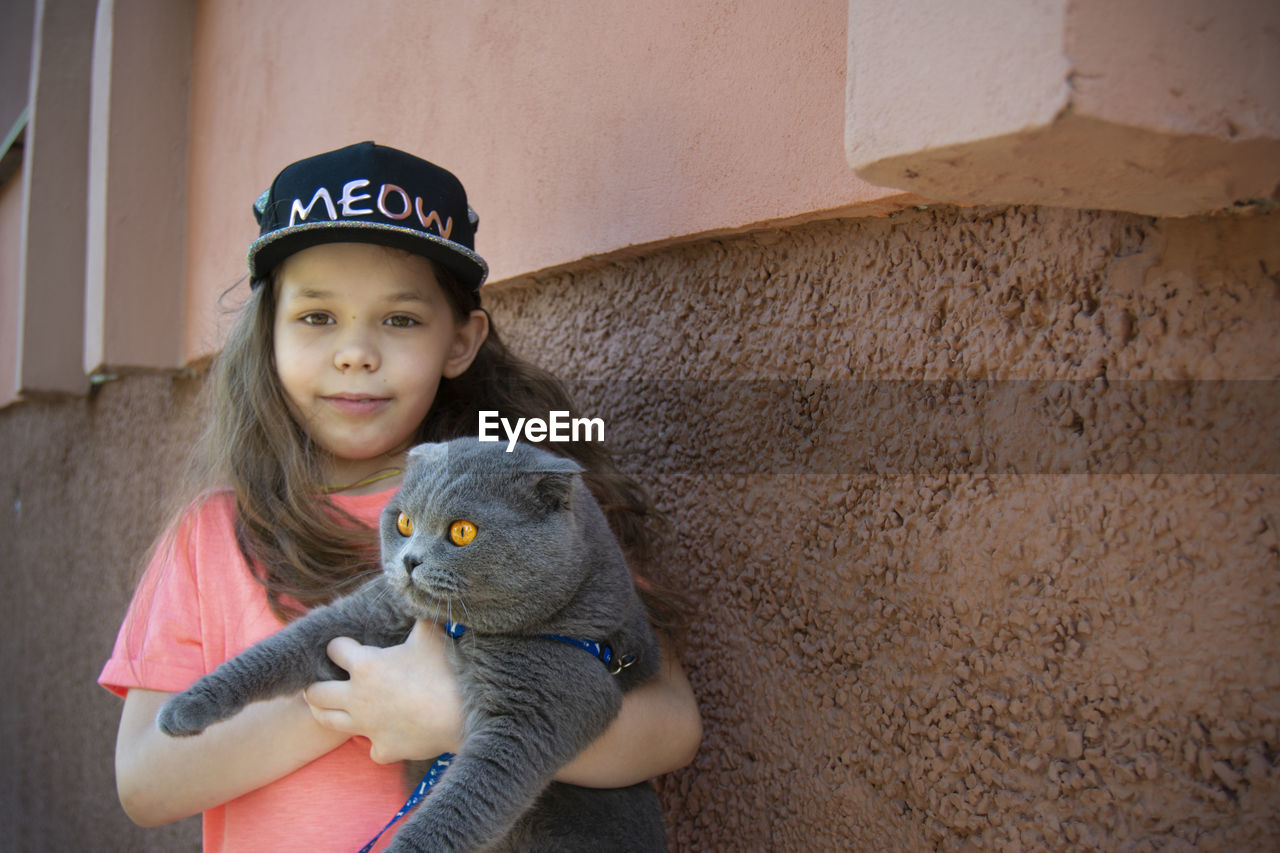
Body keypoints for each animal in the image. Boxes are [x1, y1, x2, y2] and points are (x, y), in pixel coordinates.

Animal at [154, 438, 665, 850]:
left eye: (462, 531)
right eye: (402, 522)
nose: (409, 560)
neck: (459, 630)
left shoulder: (537, 710)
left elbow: (457, 808)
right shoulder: (368, 614)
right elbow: (281, 648)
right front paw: (184, 707)